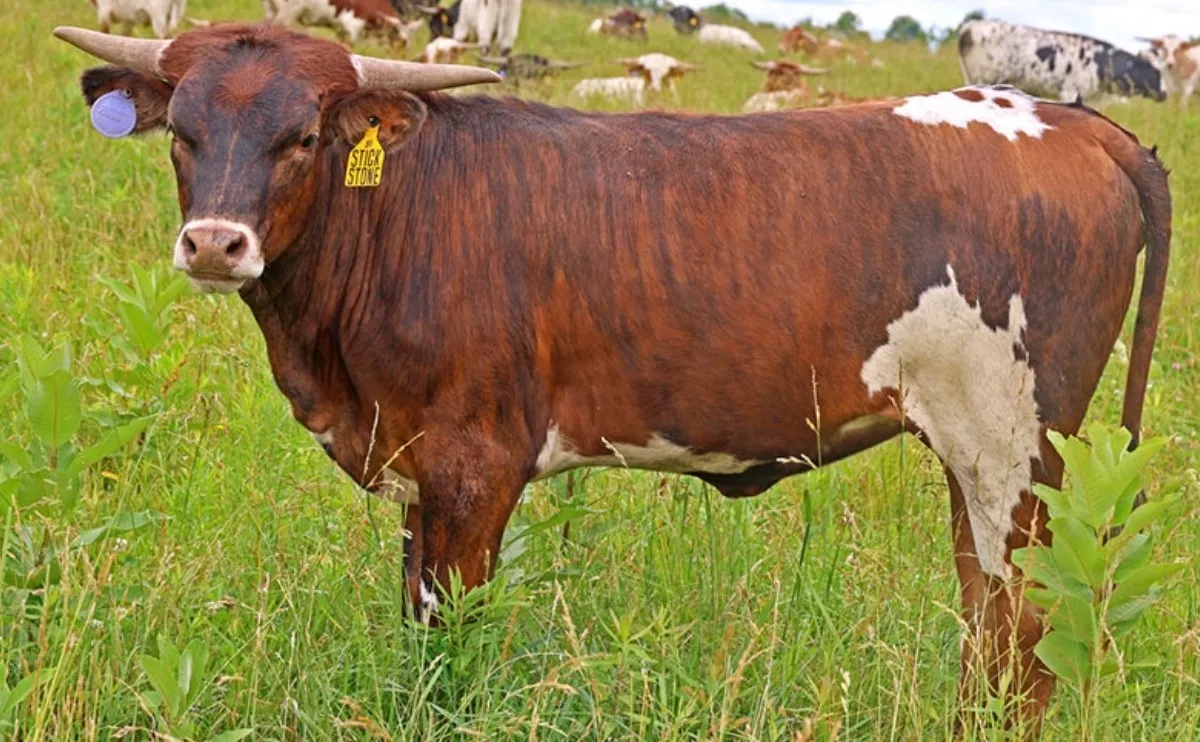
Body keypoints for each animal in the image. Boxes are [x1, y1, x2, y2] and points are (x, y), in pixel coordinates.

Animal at [263, 0, 422, 46]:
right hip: (289, 10)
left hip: (272, 9)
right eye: (401, 41)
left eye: (410, 38)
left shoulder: (342, 30)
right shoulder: (352, 25)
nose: (402, 54)